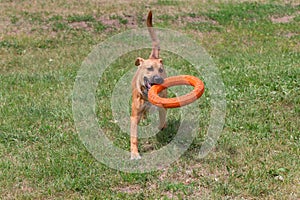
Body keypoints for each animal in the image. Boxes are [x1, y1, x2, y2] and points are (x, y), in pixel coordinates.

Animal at [130, 10, 168, 159]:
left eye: (161, 70)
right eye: (149, 68)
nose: (158, 79)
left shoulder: (163, 107)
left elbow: (162, 121)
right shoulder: (134, 115)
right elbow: (134, 137)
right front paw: (134, 154)